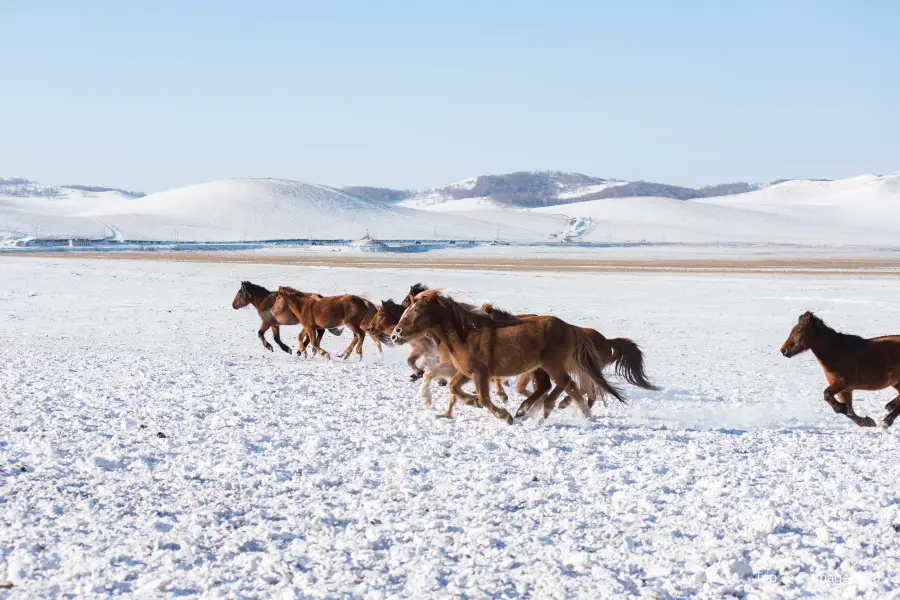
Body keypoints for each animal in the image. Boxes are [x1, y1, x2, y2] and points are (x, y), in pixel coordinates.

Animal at [390, 290, 624, 422]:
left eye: (416, 311)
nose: (395, 334)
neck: (465, 335)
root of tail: (571, 327)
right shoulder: (466, 372)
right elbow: (453, 388)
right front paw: (463, 405)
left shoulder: (480, 373)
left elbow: (484, 398)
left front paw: (505, 416)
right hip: (542, 367)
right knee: (560, 387)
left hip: (552, 364)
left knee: (565, 384)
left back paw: (542, 410)